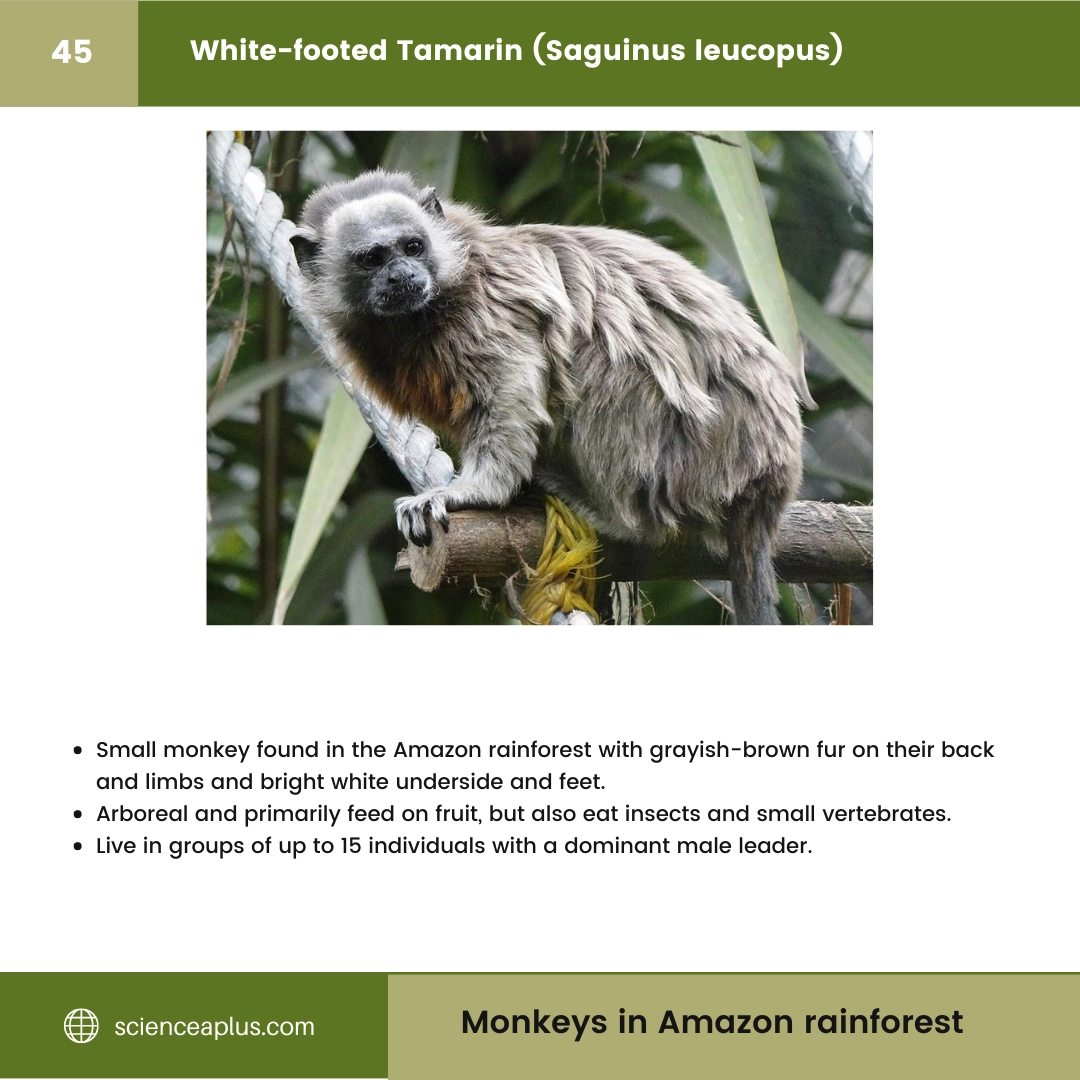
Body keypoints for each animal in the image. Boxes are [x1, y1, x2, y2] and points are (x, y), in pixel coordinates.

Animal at [290, 169, 805, 624]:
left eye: (412, 247)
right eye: (373, 259)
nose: (403, 275)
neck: (431, 310)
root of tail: (770, 478)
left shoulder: (489, 314)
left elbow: (511, 386)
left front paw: (476, 492)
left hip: (688, 462)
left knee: (603, 355)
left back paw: (615, 517)